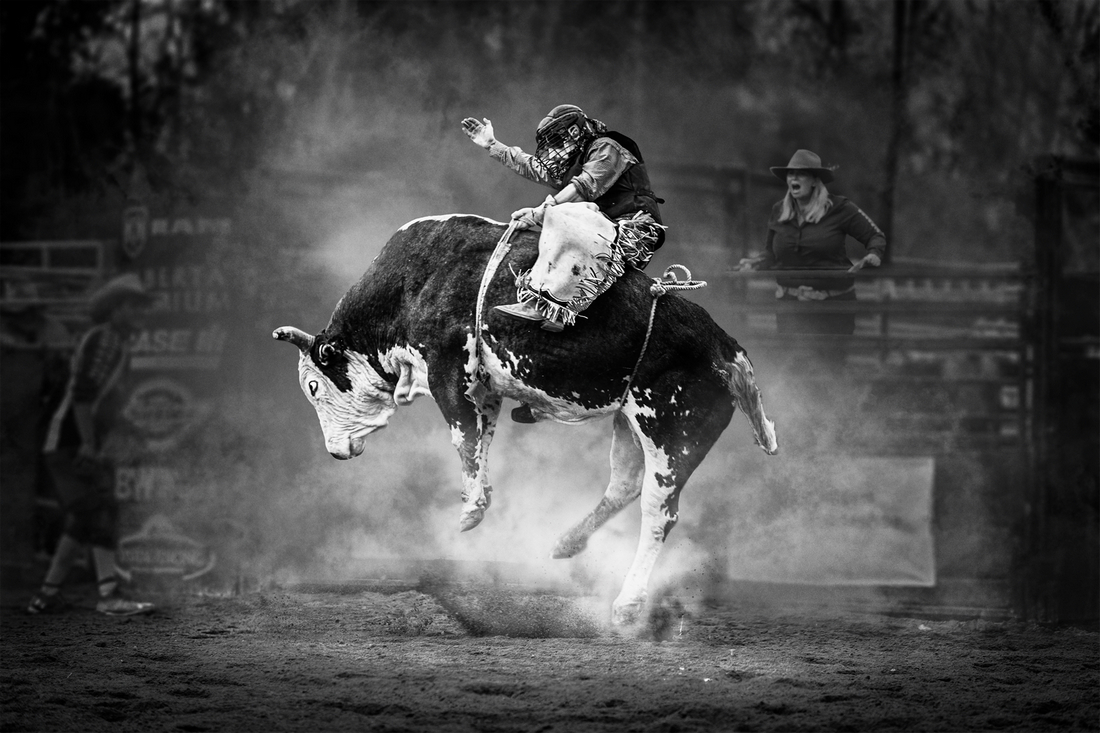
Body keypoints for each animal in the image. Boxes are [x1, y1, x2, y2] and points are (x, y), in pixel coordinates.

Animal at [273, 206, 778, 625]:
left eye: (313, 385)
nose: (335, 451)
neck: (417, 279)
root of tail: (725, 347)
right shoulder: (484, 388)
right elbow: (480, 438)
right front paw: (478, 497)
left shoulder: (446, 368)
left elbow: (462, 435)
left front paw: (470, 511)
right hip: (632, 425)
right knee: (624, 485)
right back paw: (567, 543)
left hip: (672, 434)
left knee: (659, 512)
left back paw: (627, 604)